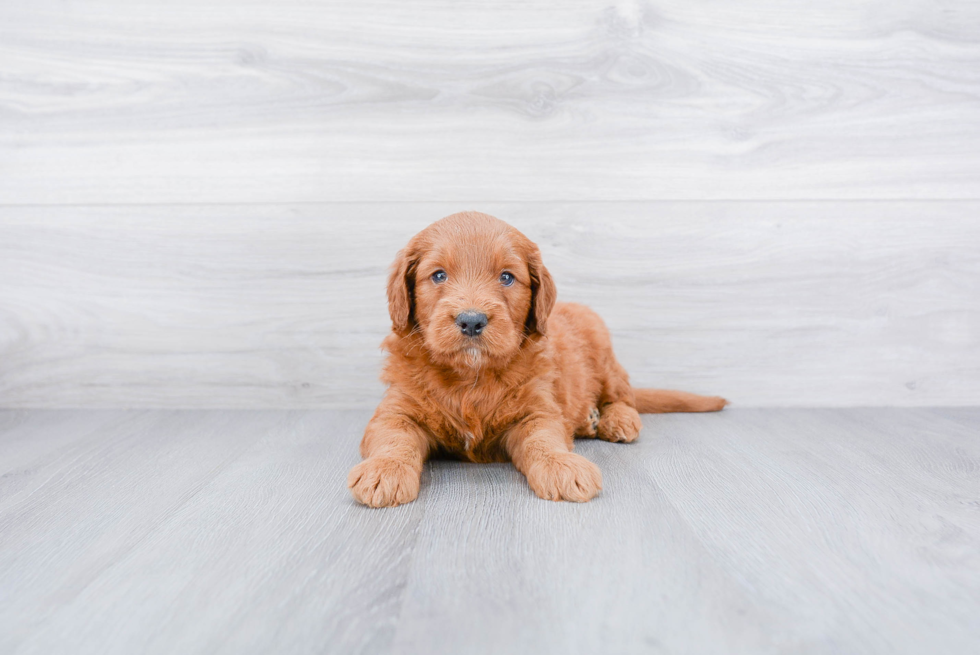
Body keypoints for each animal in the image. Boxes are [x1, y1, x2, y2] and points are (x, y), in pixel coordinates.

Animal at [348, 211, 724, 508]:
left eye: (506, 277)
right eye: (438, 275)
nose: (471, 320)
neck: (471, 377)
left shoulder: (537, 410)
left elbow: (544, 439)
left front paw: (562, 465)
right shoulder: (396, 410)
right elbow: (393, 438)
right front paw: (384, 470)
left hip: (603, 352)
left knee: (622, 395)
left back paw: (615, 421)